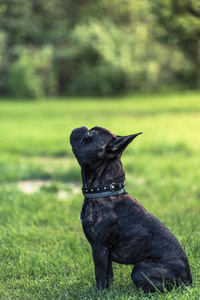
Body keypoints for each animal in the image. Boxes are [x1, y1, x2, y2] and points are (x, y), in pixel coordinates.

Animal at [69, 125, 192, 292]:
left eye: (90, 133)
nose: (82, 127)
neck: (105, 190)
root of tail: (188, 280)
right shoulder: (106, 253)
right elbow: (108, 274)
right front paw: (109, 291)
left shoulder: (100, 247)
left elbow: (100, 274)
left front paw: (99, 293)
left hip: (140, 269)